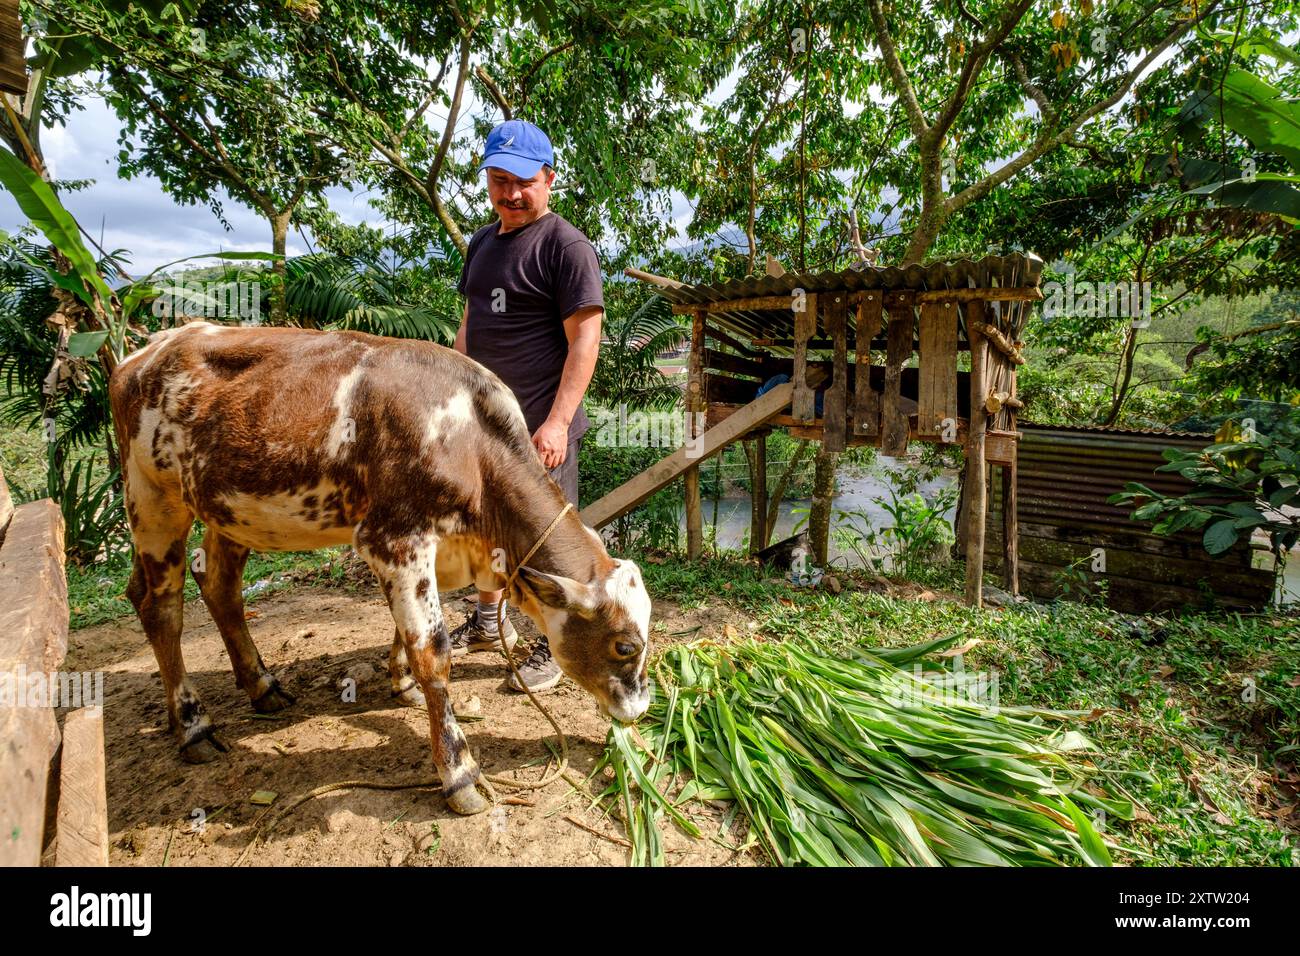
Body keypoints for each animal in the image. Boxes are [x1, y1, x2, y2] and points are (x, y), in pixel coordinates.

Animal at [109, 321, 650, 816]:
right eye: (624, 646)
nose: (640, 710)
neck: (470, 440)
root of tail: (147, 349)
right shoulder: (395, 538)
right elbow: (432, 651)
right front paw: (458, 772)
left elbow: (405, 635)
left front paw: (402, 684)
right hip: (151, 497)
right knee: (160, 605)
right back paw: (193, 725)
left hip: (230, 508)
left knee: (219, 586)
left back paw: (263, 688)